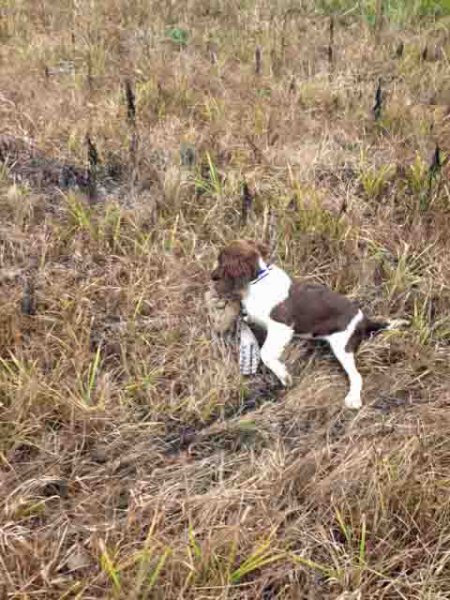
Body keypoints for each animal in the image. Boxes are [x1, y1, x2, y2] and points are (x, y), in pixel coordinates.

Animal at [209, 239, 400, 408]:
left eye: (220, 260)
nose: (211, 277)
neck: (258, 280)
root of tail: (364, 319)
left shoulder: (282, 327)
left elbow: (266, 354)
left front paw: (283, 376)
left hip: (343, 347)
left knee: (356, 376)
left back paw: (353, 399)